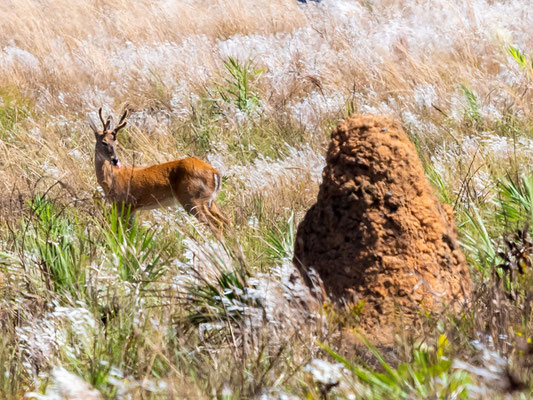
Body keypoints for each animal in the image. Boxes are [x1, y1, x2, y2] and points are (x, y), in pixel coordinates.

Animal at [87, 108, 229, 236]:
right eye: (104, 142)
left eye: (116, 143)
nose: (115, 160)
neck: (112, 179)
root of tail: (215, 172)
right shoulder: (131, 208)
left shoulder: (125, 204)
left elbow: (122, 232)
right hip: (209, 200)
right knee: (226, 221)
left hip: (192, 198)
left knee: (217, 226)